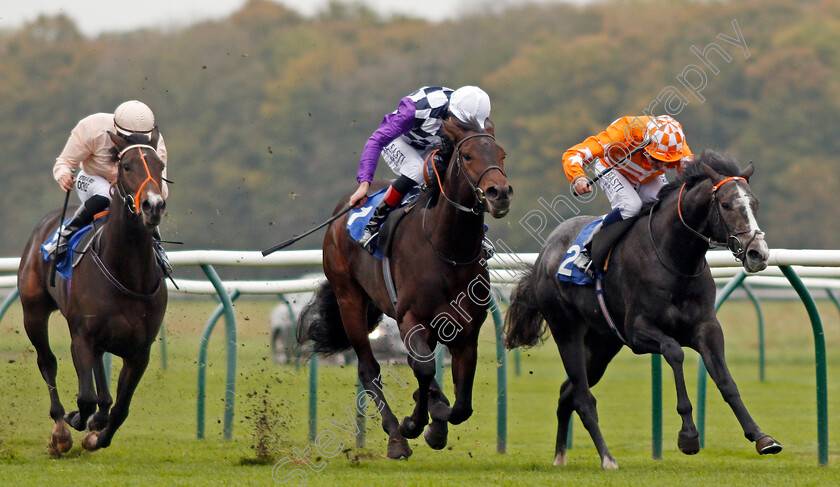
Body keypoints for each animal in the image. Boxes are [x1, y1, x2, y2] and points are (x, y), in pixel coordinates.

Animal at [17, 131, 167, 458]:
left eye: (160, 165)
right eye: (126, 165)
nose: (153, 205)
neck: (127, 273)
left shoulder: (140, 351)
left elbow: (120, 408)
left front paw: (97, 435)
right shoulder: (81, 336)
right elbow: (85, 397)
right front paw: (74, 421)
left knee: (102, 382)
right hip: (33, 312)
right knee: (47, 362)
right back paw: (60, 428)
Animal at [300, 116, 512, 460]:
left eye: (501, 154)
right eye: (467, 156)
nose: (500, 193)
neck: (448, 251)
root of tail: (343, 208)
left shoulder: (466, 329)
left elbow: (461, 404)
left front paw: (436, 421)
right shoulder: (411, 318)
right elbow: (423, 370)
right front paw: (415, 423)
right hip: (350, 300)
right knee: (369, 369)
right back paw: (396, 437)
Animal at [502, 152, 776, 468]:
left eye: (755, 203)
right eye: (727, 205)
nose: (758, 253)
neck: (675, 259)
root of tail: (544, 253)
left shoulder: (706, 327)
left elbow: (725, 380)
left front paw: (761, 437)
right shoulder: (638, 333)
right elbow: (674, 352)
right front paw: (688, 436)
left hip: (601, 345)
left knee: (566, 393)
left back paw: (561, 456)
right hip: (566, 332)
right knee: (583, 398)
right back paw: (607, 458)